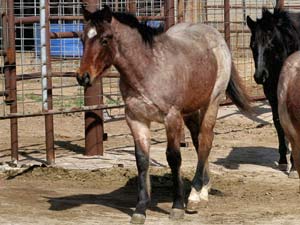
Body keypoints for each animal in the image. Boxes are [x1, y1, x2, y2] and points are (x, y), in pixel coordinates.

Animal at [77, 5, 251, 225]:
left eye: (105, 39)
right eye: (82, 38)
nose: (83, 77)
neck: (148, 69)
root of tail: (215, 34)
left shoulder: (172, 118)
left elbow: (173, 158)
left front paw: (178, 206)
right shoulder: (136, 119)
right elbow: (142, 160)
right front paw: (140, 209)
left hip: (212, 102)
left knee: (205, 141)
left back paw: (194, 196)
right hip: (191, 111)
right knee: (198, 140)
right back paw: (204, 189)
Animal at [246, 7, 300, 178]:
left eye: (270, 45)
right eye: (252, 46)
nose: (259, 76)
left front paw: (294, 166)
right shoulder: (273, 97)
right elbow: (278, 124)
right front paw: (283, 160)